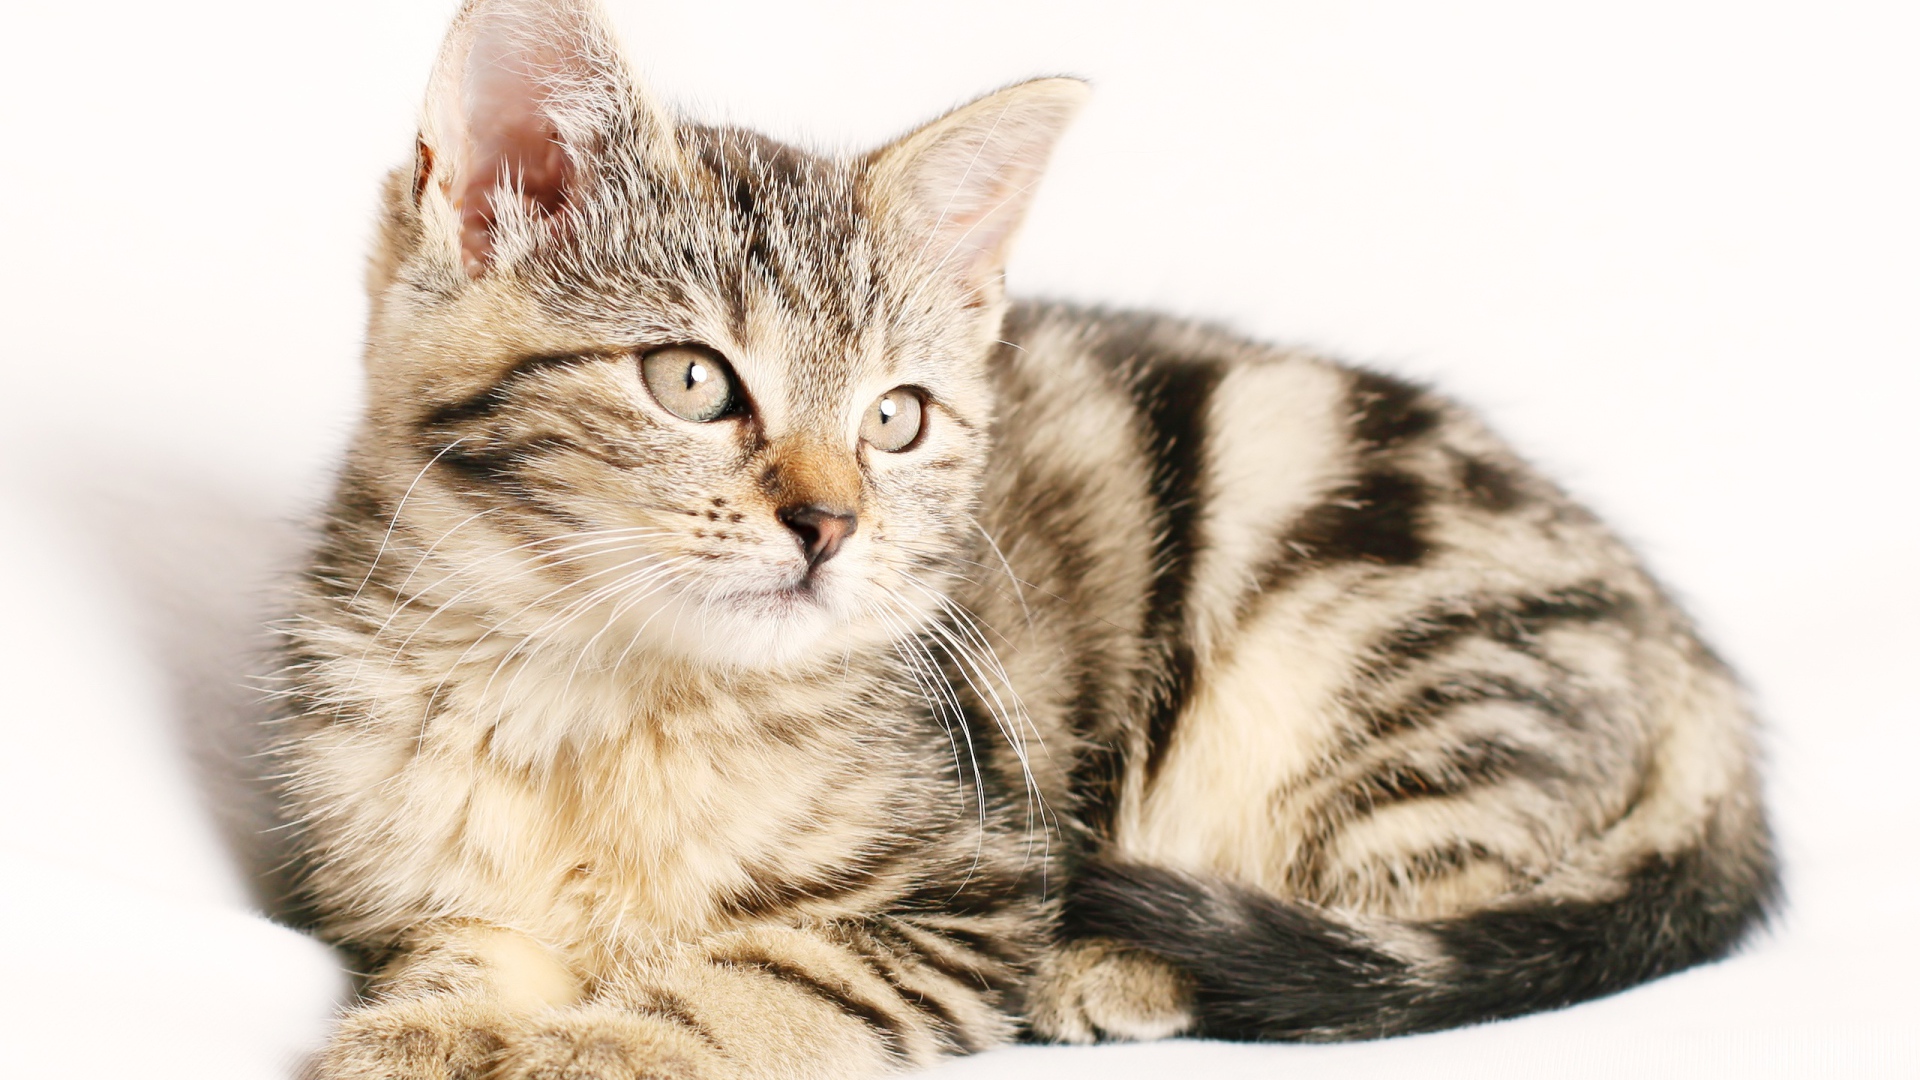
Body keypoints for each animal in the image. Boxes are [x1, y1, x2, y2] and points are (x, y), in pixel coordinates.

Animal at [278, 2, 1774, 1076]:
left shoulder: (972, 883)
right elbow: (459, 941)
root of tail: (1683, 646)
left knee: (1418, 917)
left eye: (895, 418)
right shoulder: (392, 871)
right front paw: (425, 1031)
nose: (829, 523)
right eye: (693, 380)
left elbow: (766, 976)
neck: (601, 698)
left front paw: (607, 1045)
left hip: (1388, 668)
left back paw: (1122, 966)